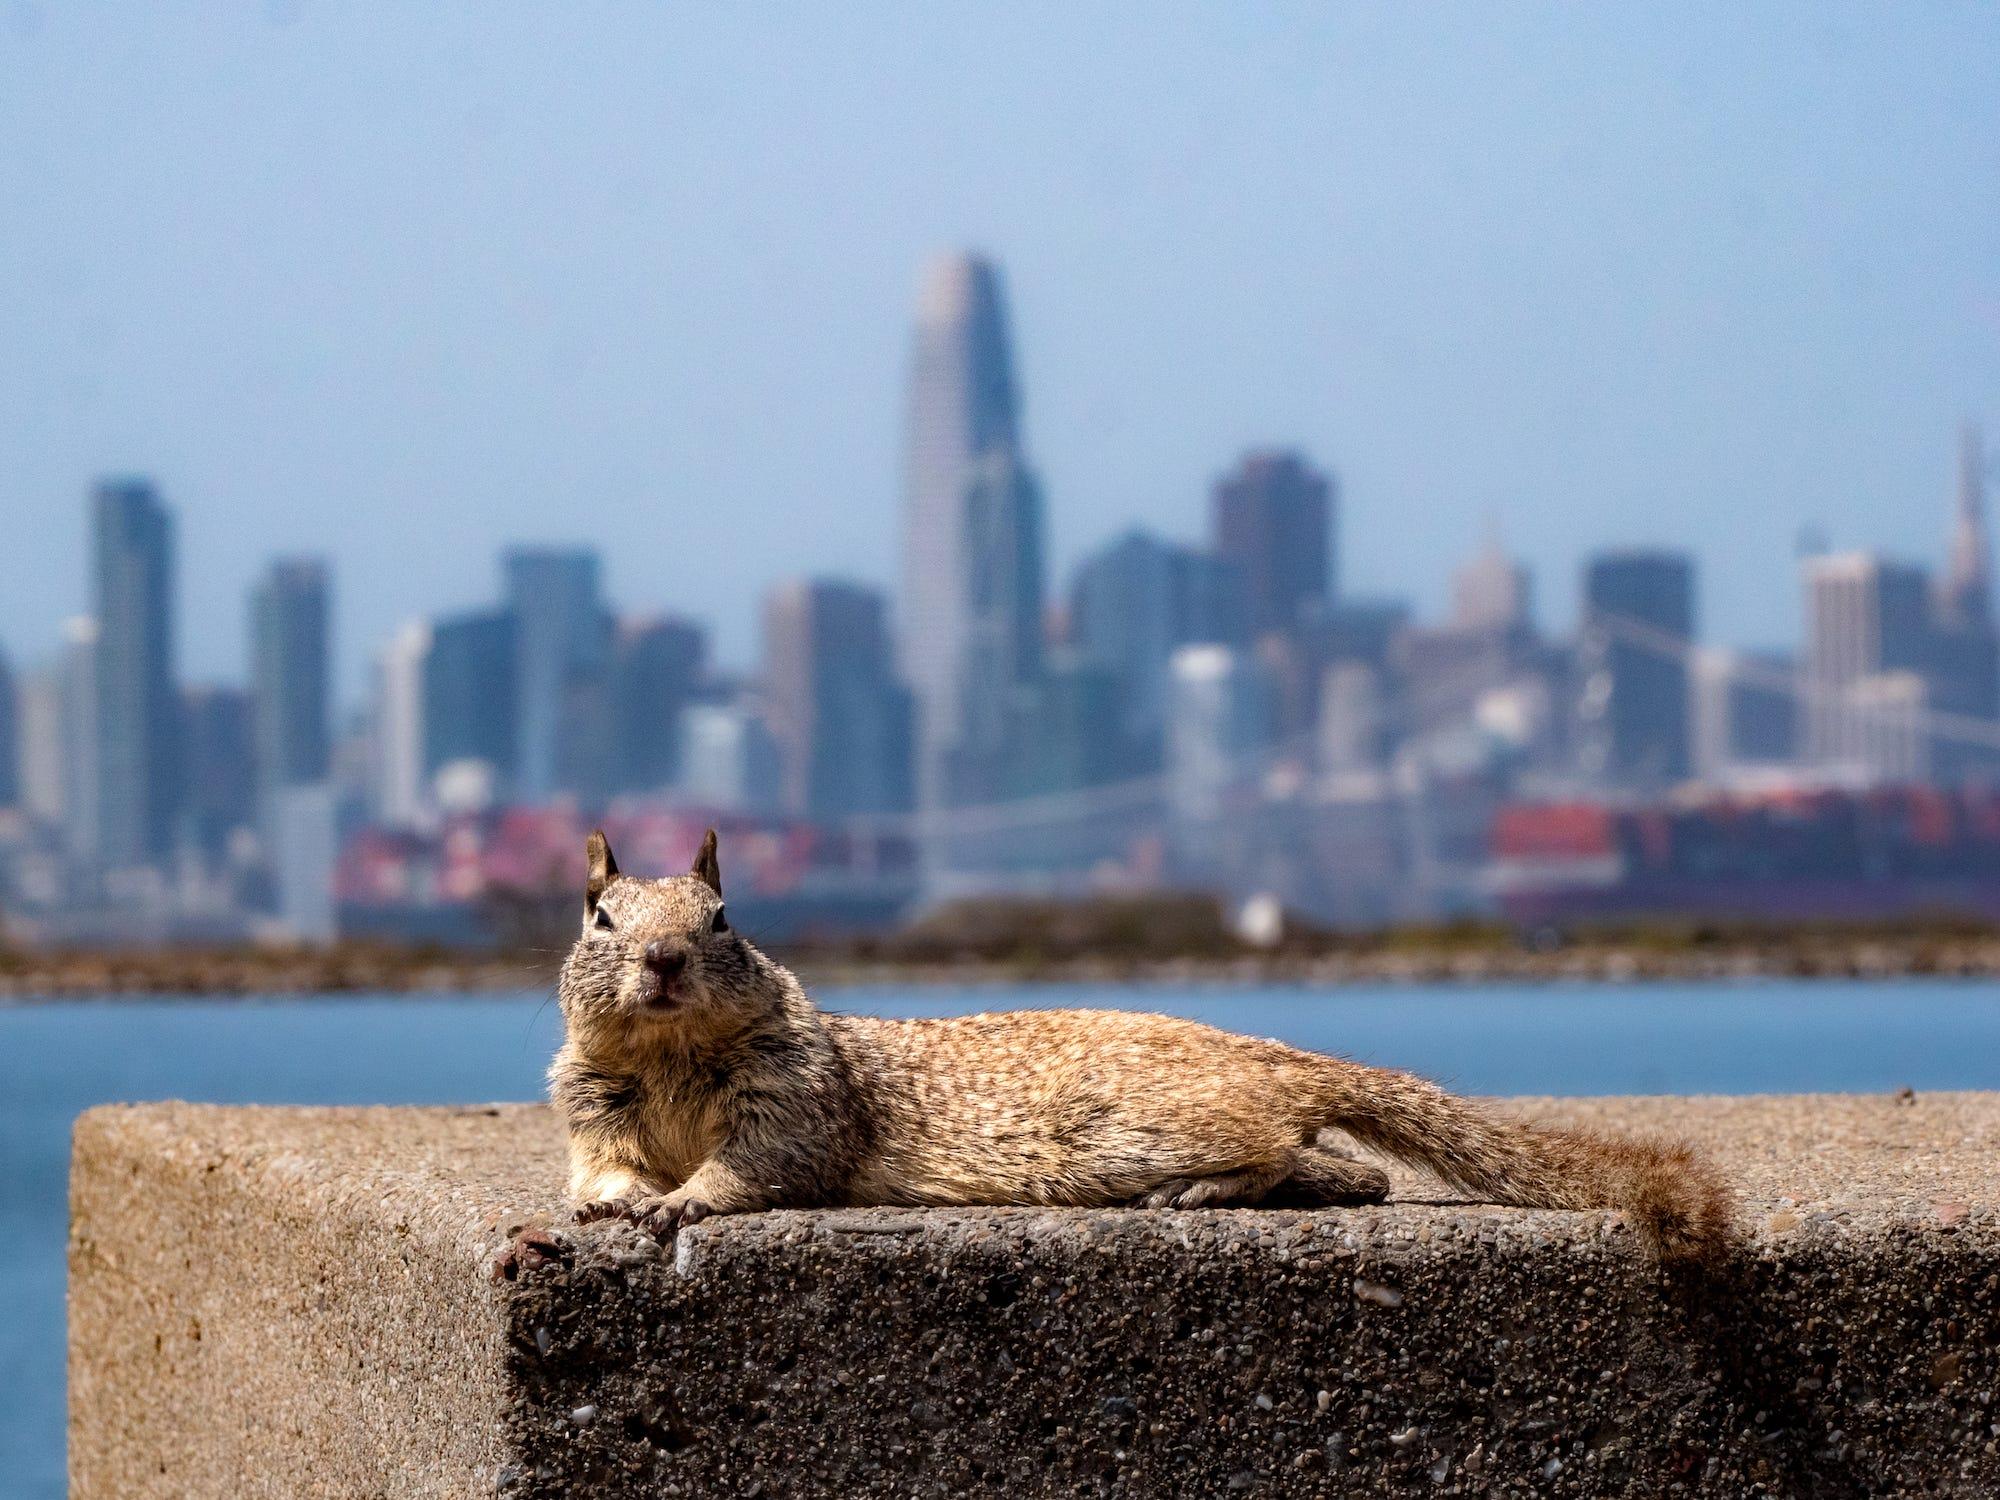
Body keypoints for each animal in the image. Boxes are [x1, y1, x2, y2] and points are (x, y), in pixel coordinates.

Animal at [552, 836, 1736, 1272]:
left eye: (721, 918)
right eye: (600, 918)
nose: (663, 957)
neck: (669, 1059)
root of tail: (1276, 1052)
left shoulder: (793, 1100)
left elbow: (756, 1167)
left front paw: (681, 1201)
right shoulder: (593, 1104)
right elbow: (598, 1168)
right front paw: (615, 1204)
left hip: (1129, 1132)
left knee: (1289, 1153)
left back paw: (1207, 1193)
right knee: (1349, 1170)